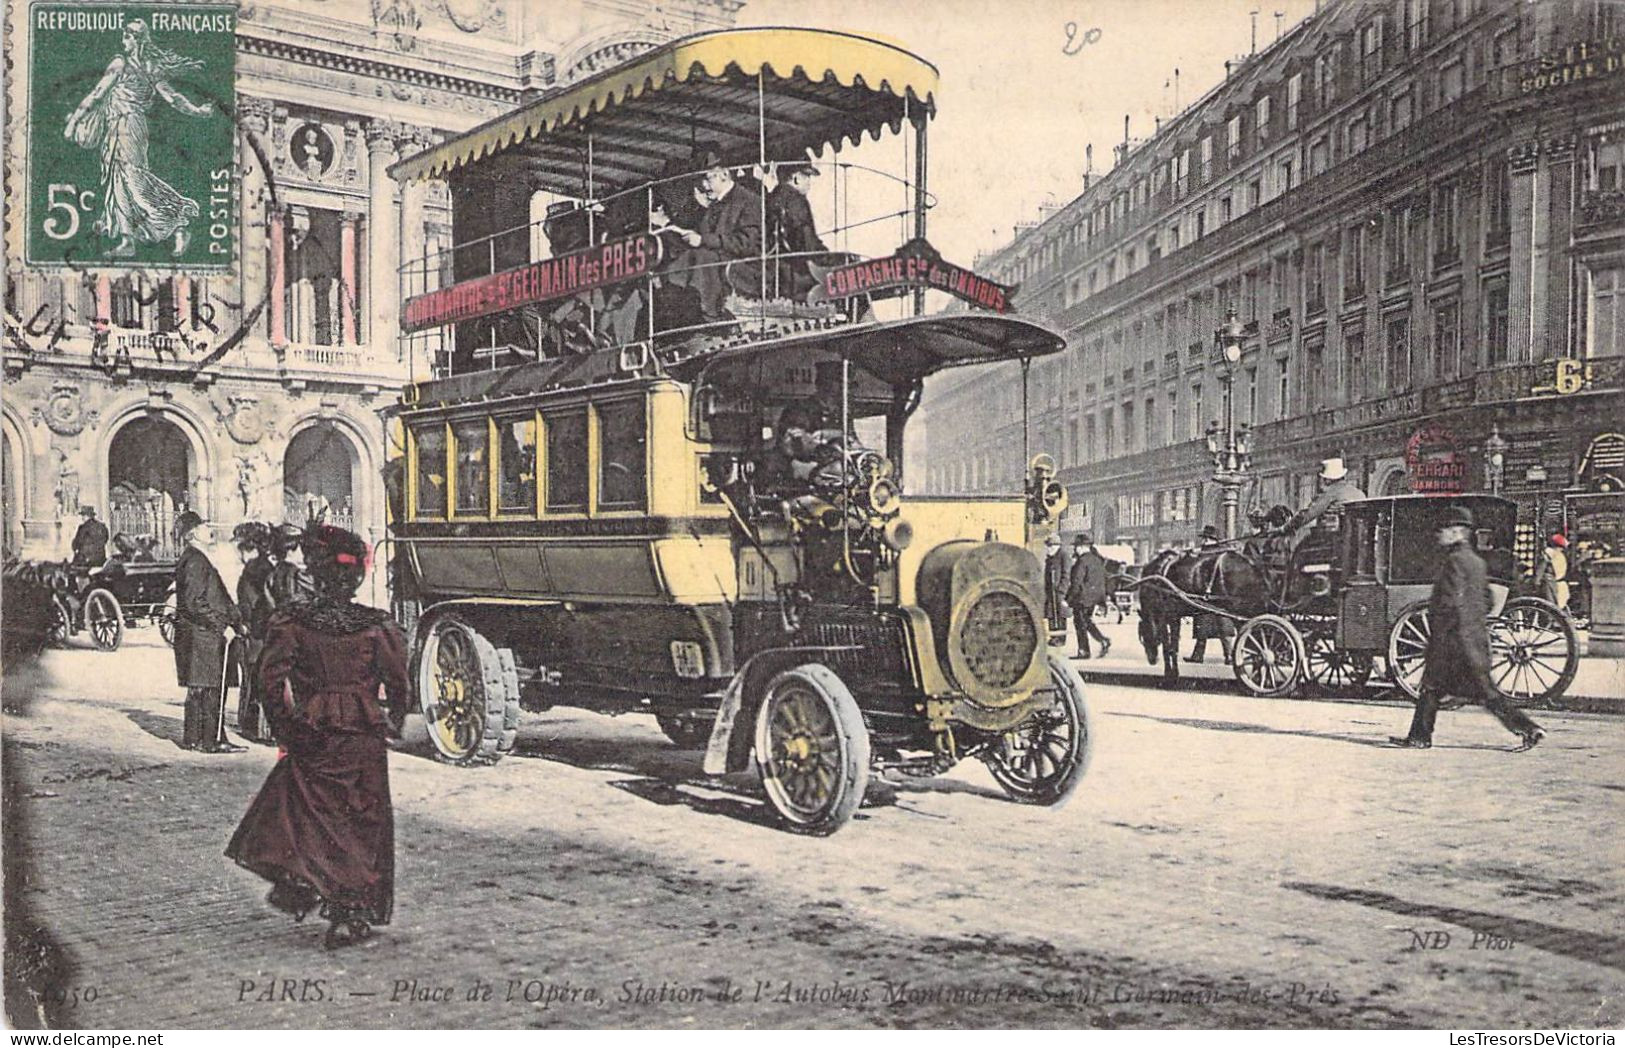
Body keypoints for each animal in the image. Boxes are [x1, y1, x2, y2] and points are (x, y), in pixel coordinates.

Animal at [1137, 542, 1274, 682]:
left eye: (1142, 634)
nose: (1152, 659)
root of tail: (1253, 564)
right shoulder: (1175, 616)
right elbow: (1174, 645)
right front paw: (1174, 672)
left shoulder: (1166, 616)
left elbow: (1168, 646)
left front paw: (1170, 673)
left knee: (1255, 642)